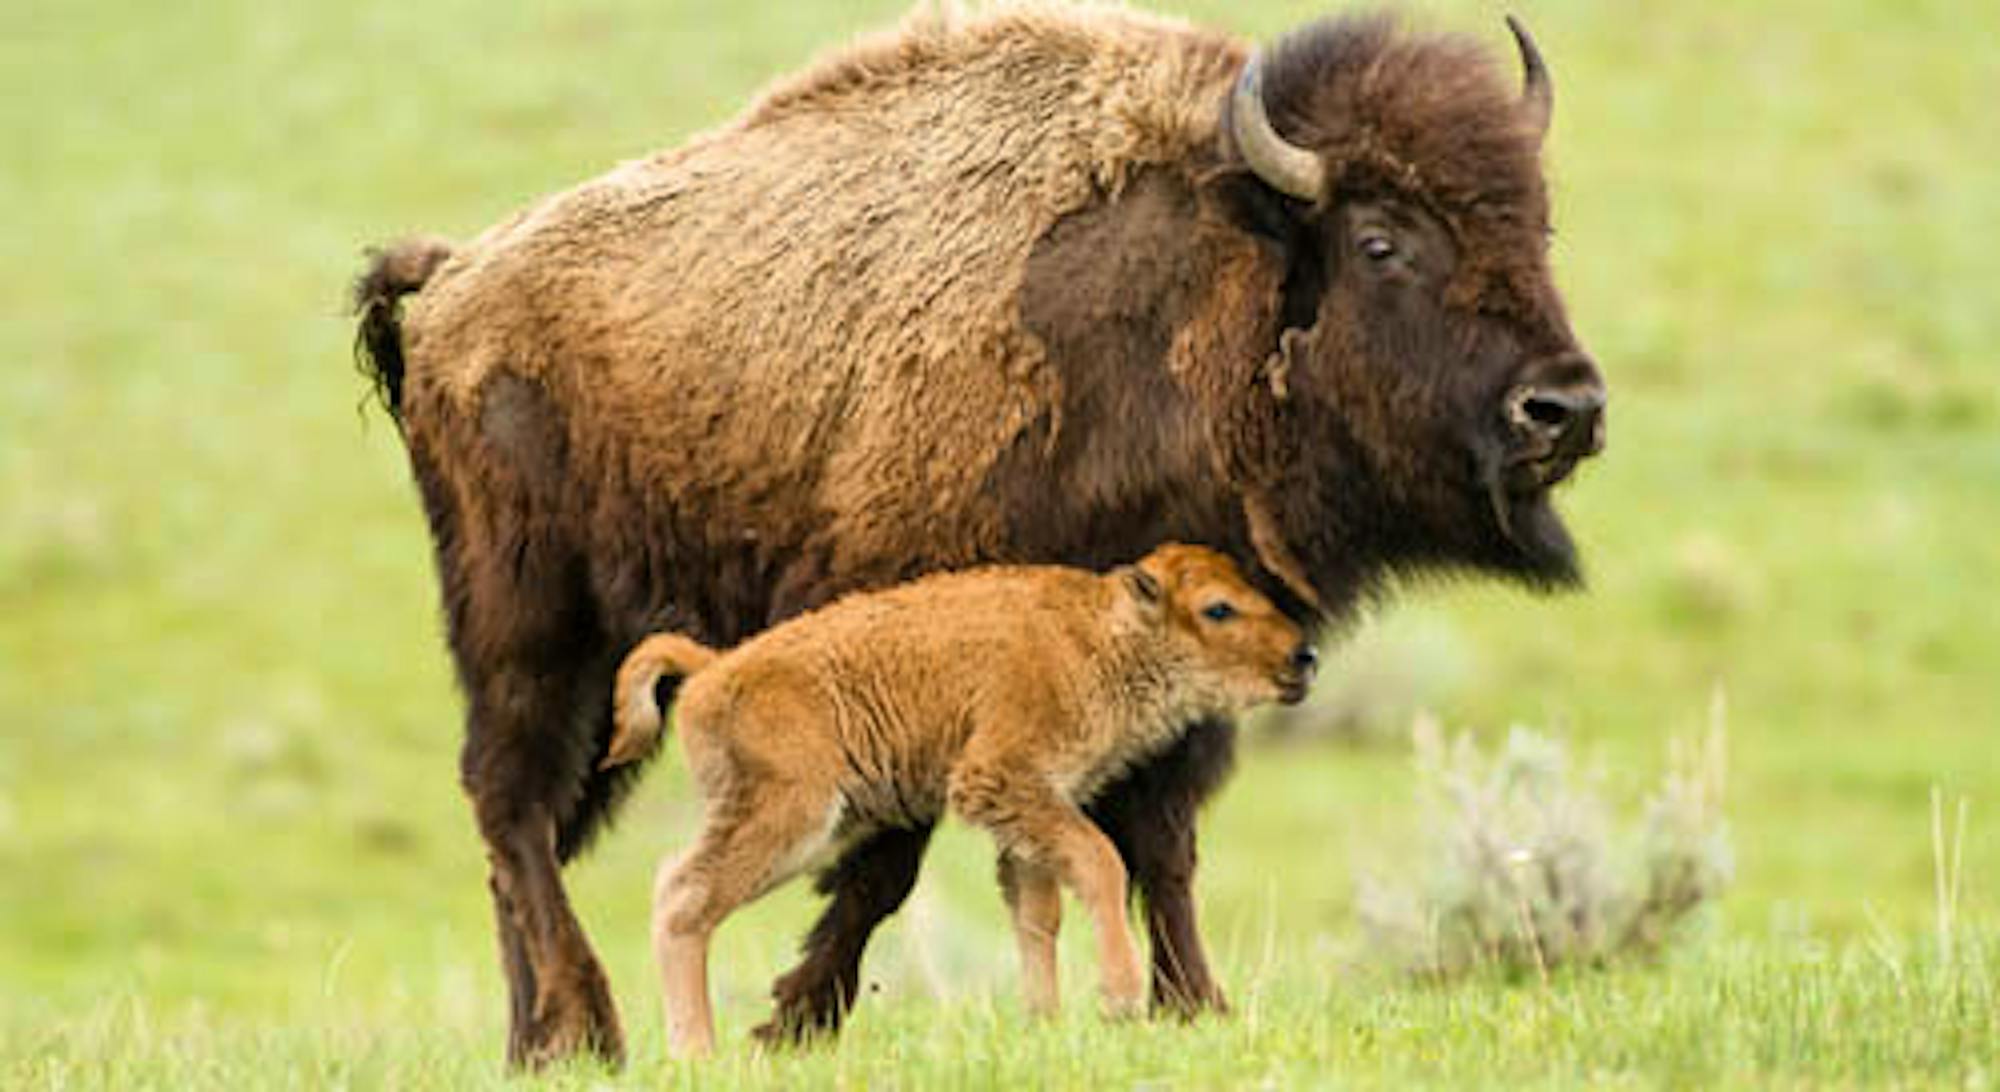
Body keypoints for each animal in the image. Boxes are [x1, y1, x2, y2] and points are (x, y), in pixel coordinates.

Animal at [608, 544, 1312, 1056]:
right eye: (1218, 609)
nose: (1302, 656)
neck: (1097, 636)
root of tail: (714, 668)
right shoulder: (1000, 778)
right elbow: (1101, 863)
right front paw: (1118, 999)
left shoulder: (1032, 814)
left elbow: (1037, 912)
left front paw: (1045, 1022)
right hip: (792, 819)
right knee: (685, 897)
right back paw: (698, 1052)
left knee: (677, 884)